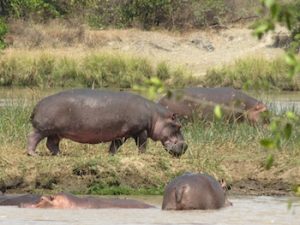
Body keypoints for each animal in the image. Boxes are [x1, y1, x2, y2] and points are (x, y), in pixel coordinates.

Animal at [27, 89, 188, 157]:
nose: (185, 146)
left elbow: (115, 145)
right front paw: (143, 155)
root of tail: (36, 106)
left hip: (56, 132)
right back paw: (33, 154)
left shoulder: (122, 133)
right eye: (179, 126)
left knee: (51, 144)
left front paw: (111, 155)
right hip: (43, 129)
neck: (156, 116)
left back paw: (61, 155)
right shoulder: (141, 130)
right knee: (32, 138)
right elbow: (142, 144)